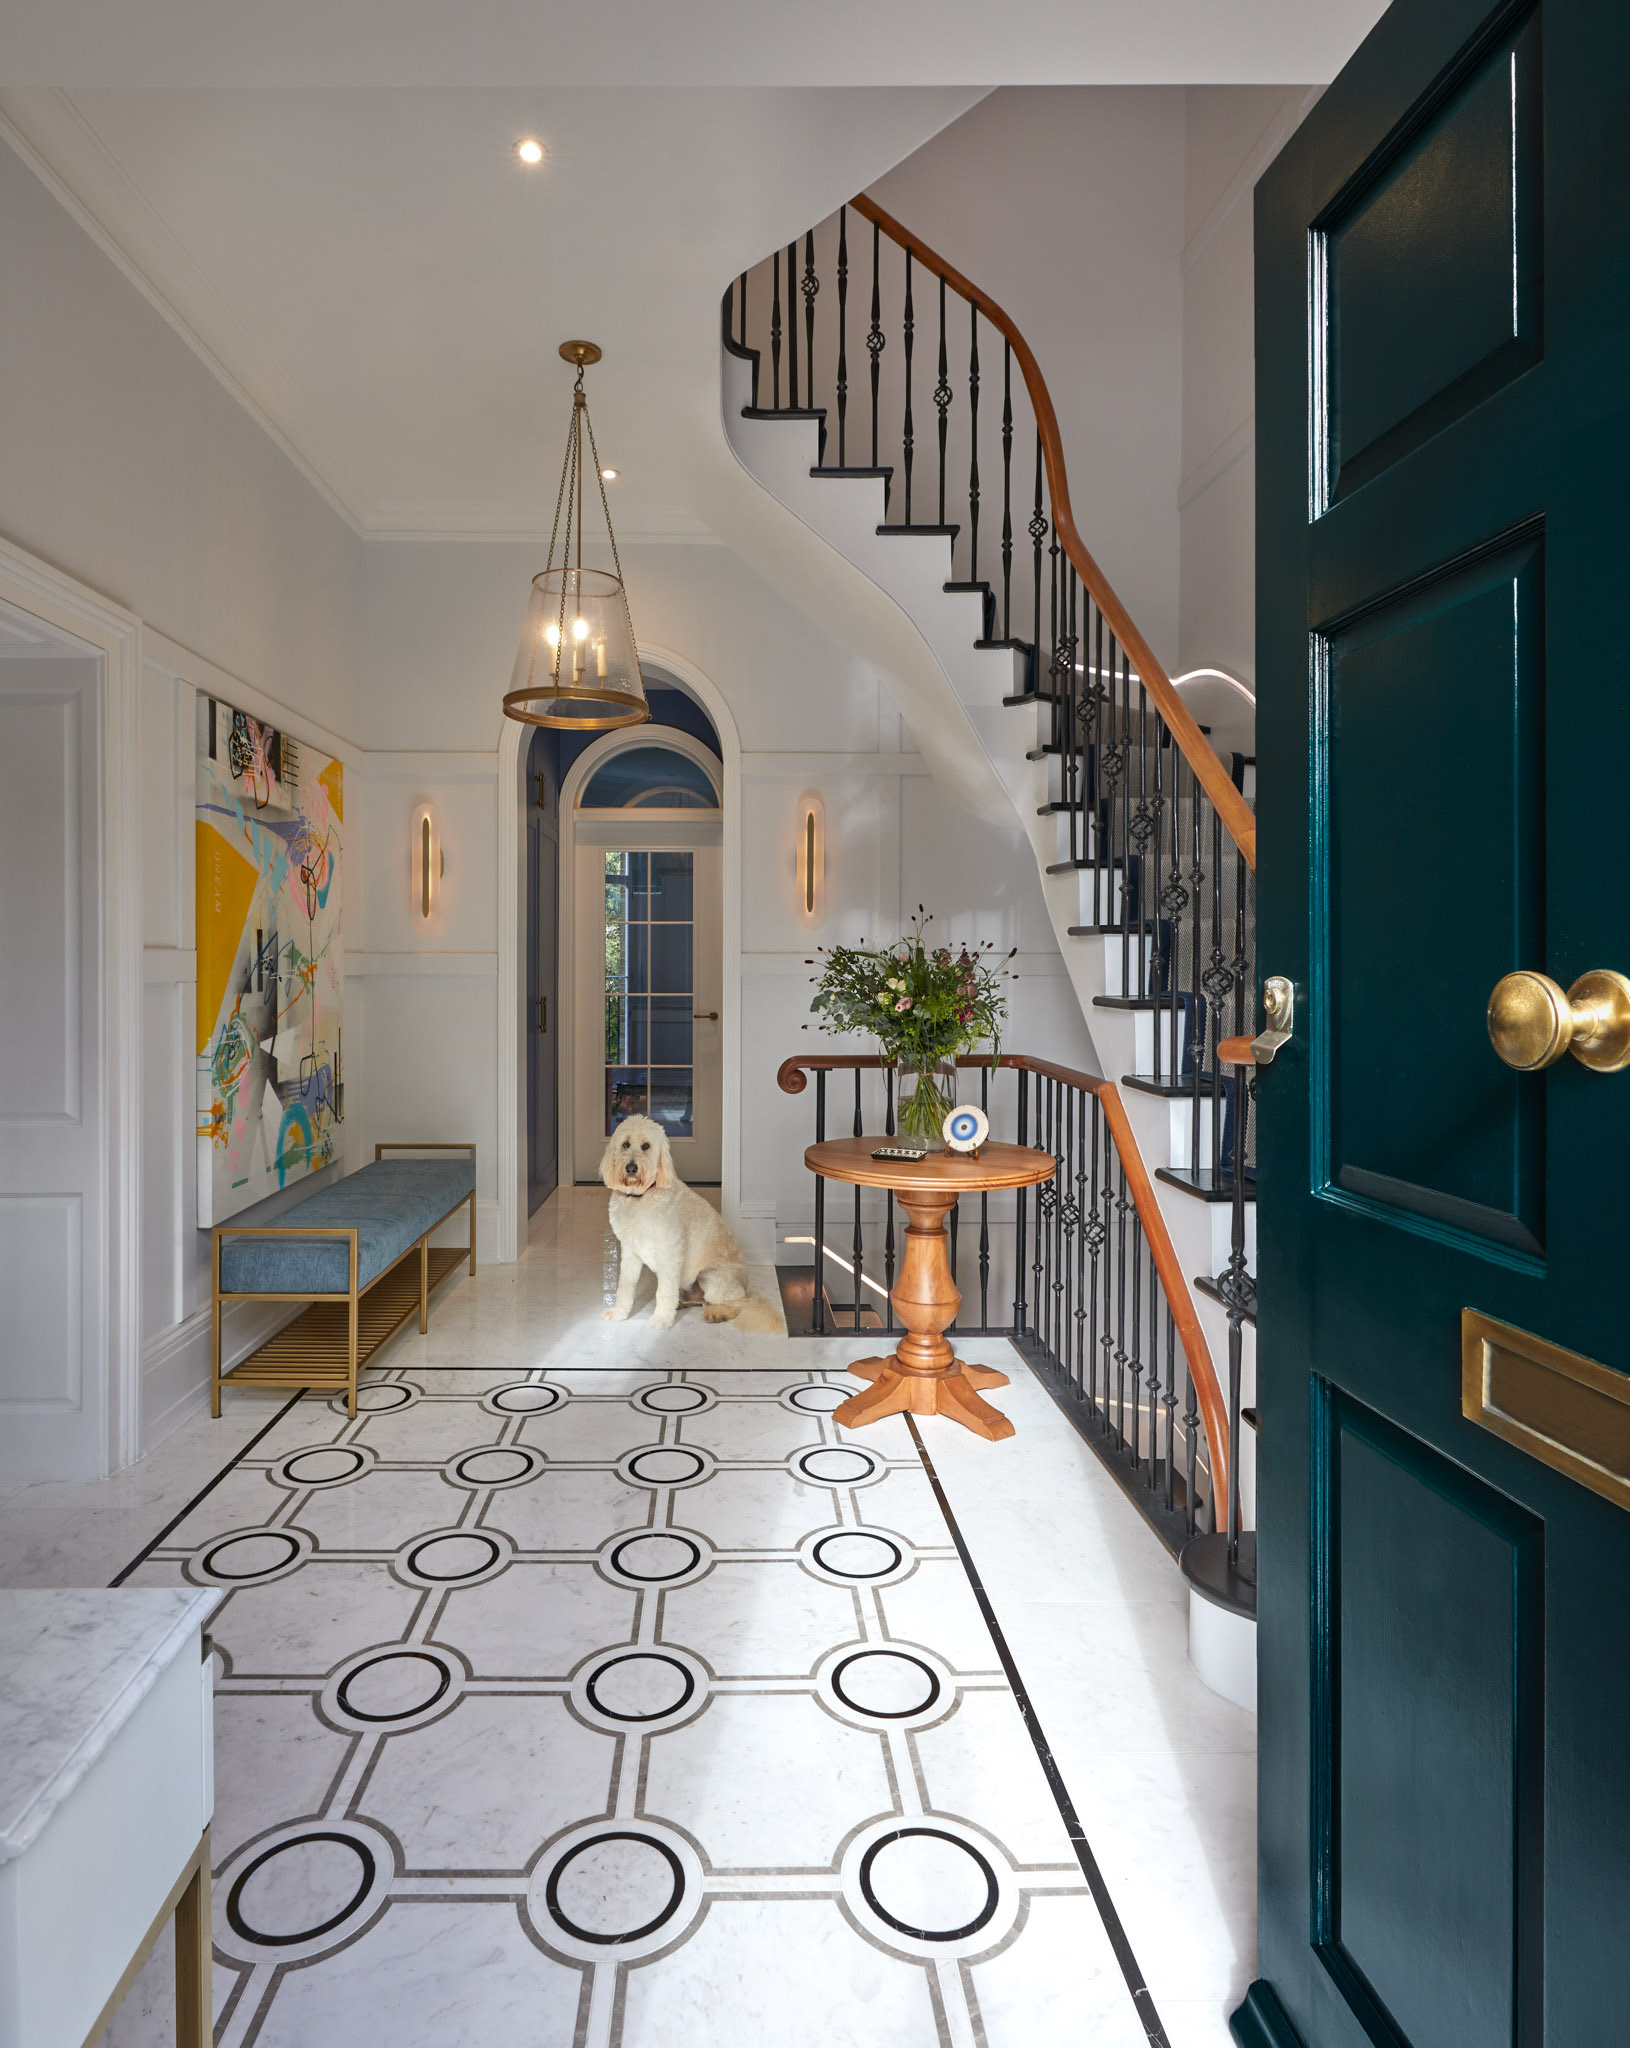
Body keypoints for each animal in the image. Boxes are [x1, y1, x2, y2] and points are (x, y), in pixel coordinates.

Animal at [606, 1122, 769, 1327]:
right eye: (626, 1144)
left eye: (646, 1146)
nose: (631, 1168)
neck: (640, 1198)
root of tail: (746, 1285)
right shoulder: (630, 1250)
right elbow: (625, 1285)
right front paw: (619, 1312)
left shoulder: (671, 1251)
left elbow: (665, 1291)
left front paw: (662, 1319)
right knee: (701, 1301)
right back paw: (682, 1303)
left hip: (711, 1276)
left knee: (738, 1302)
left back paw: (718, 1313)